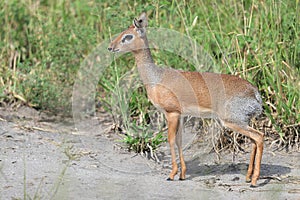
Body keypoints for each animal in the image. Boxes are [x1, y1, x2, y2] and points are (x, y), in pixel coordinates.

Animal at [108, 12, 264, 188]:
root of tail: (255, 93)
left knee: (259, 137)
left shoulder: (171, 113)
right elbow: (179, 141)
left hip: (232, 121)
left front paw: (172, 174)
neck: (156, 78)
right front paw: (182, 174)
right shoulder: (180, 116)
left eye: (127, 36)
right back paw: (248, 177)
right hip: (242, 121)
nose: (111, 47)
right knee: (254, 141)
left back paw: (254, 181)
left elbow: (170, 140)